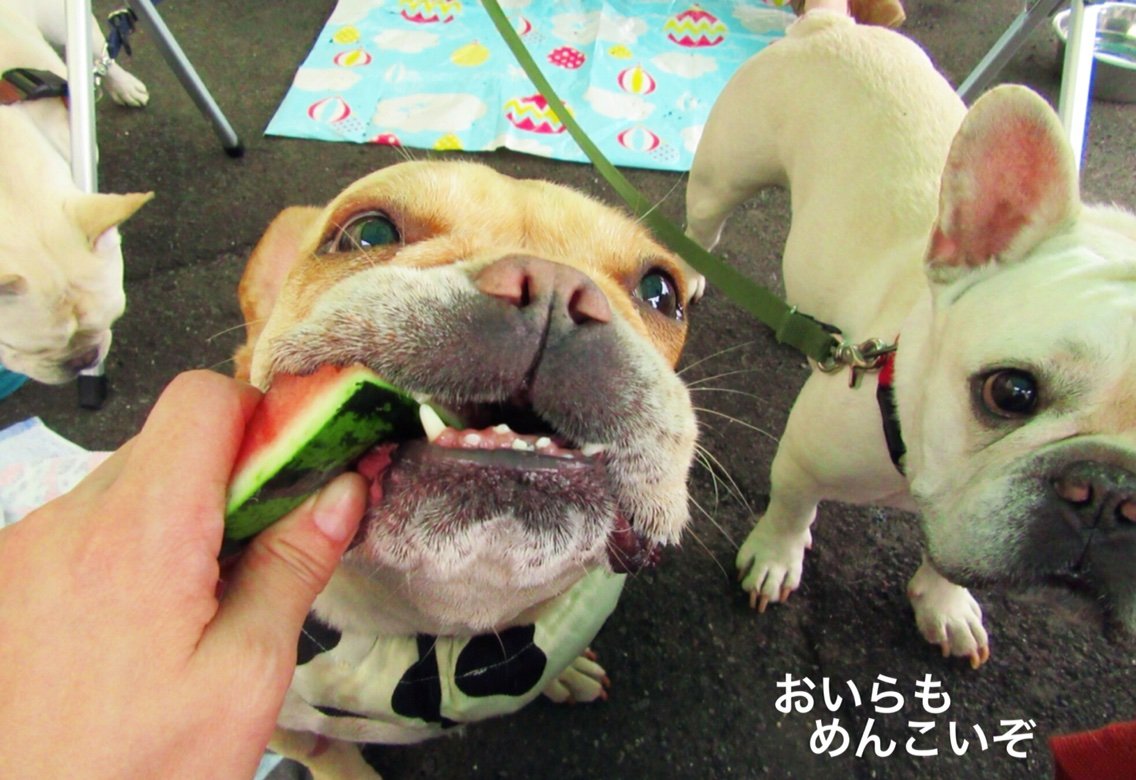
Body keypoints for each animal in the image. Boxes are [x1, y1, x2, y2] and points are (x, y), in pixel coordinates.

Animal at [233, 160, 699, 777]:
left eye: (661, 293)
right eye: (367, 233)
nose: (552, 283)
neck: (444, 639)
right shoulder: (281, 724)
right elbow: (327, 753)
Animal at [685, 12, 1136, 667]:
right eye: (1012, 392)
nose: (1112, 492)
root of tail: (830, 23)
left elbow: (953, 561)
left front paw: (945, 606)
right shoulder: (803, 457)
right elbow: (791, 507)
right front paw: (774, 558)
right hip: (725, 174)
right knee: (703, 225)